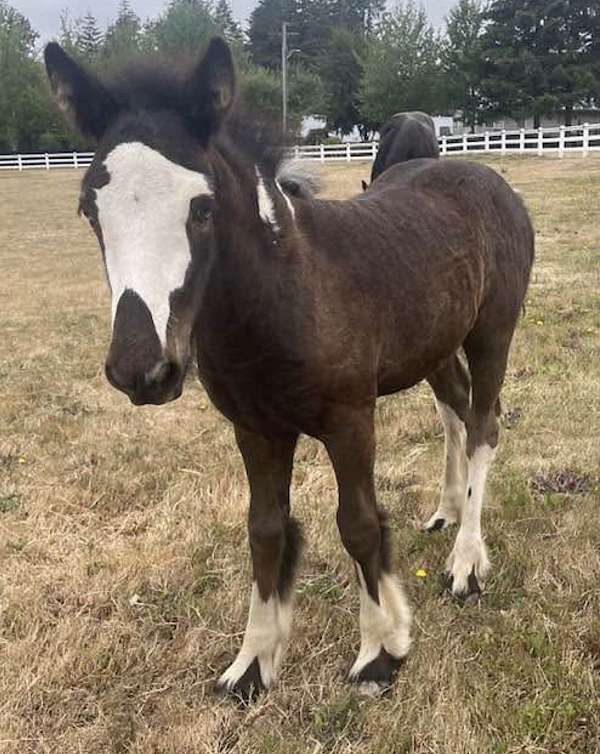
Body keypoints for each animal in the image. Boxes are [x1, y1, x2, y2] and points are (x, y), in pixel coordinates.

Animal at [45, 36, 536, 700]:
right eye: (89, 209)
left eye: (203, 207)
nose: (142, 370)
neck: (287, 294)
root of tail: (488, 176)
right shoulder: (256, 429)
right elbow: (265, 529)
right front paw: (253, 662)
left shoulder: (351, 419)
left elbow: (357, 523)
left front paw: (380, 653)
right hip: (434, 345)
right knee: (454, 411)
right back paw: (447, 512)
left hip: (492, 333)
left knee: (484, 424)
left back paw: (466, 563)